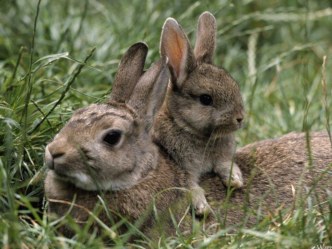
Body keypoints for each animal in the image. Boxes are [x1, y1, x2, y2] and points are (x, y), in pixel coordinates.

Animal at [153, 11, 244, 216]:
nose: (240, 118)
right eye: (206, 99)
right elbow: (190, 186)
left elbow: (225, 164)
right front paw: (202, 207)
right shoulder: (181, 167)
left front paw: (235, 179)